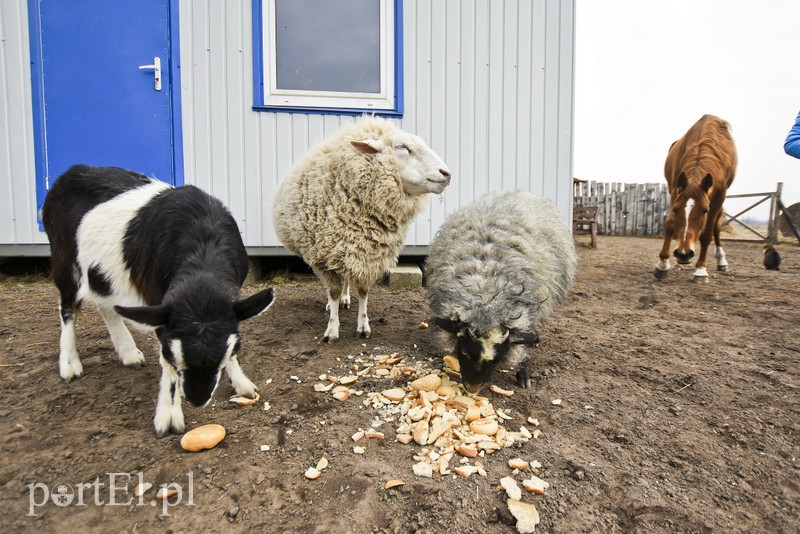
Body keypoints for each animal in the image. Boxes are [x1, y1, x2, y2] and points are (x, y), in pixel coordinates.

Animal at [42, 165, 274, 438]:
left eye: (230, 350)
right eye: (171, 352)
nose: (197, 400)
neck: (203, 242)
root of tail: (73, 171)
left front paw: (242, 384)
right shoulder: (160, 304)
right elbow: (167, 367)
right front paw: (169, 417)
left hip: (101, 271)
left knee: (105, 304)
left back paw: (128, 352)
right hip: (64, 258)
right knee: (67, 305)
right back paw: (69, 363)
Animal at [274, 117, 450, 344]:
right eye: (402, 147)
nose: (447, 174)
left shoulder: (367, 253)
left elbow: (363, 291)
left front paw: (363, 326)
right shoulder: (323, 258)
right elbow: (333, 290)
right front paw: (332, 329)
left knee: (347, 278)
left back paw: (345, 299)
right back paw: (333, 304)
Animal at [656, 115, 736, 282]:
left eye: (705, 210)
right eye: (675, 209)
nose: (683, 253)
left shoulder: (719, 195)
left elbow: (706, 234)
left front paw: (700, 270)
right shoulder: (675, 188)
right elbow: (670, 225)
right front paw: (662, 264)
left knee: (716, 227)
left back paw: (721, 261)